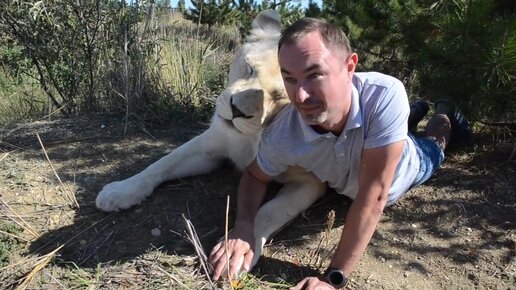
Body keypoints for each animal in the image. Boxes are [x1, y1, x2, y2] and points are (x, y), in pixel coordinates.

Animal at [94, 10, 324, 270]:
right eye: (249, 69)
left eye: (279, 96)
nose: (237, 110)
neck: (248, 139)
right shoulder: (209, 146)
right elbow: (162, 163)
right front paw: (119, 191)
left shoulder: (310, 182)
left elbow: (268, 212)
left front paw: (236, 250)